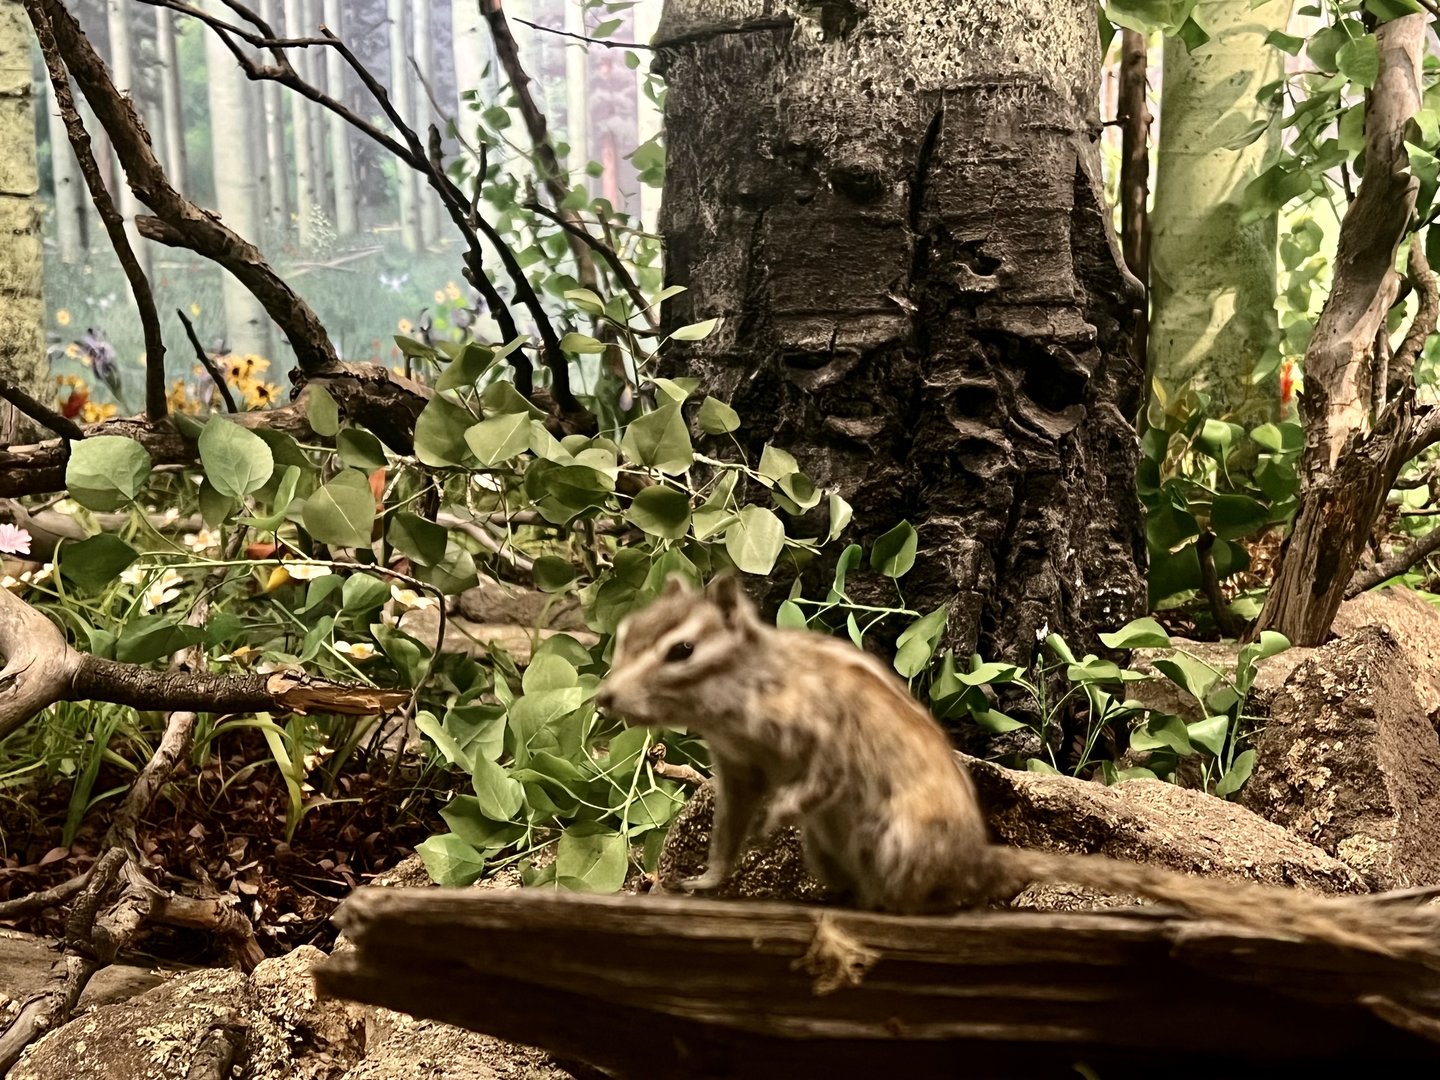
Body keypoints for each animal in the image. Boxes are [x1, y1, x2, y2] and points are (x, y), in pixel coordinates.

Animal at [595, 575, 1440, 966]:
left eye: (681, 649)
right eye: (627, 633)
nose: (603, 696)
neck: (741, 692)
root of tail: (978, 857)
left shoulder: (823, 734)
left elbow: (817, 778)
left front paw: (778, 814)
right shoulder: (736, 765)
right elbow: (730, 826)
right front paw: (704, 882)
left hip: (900, 837)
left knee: (926, 904)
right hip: (832, 846)